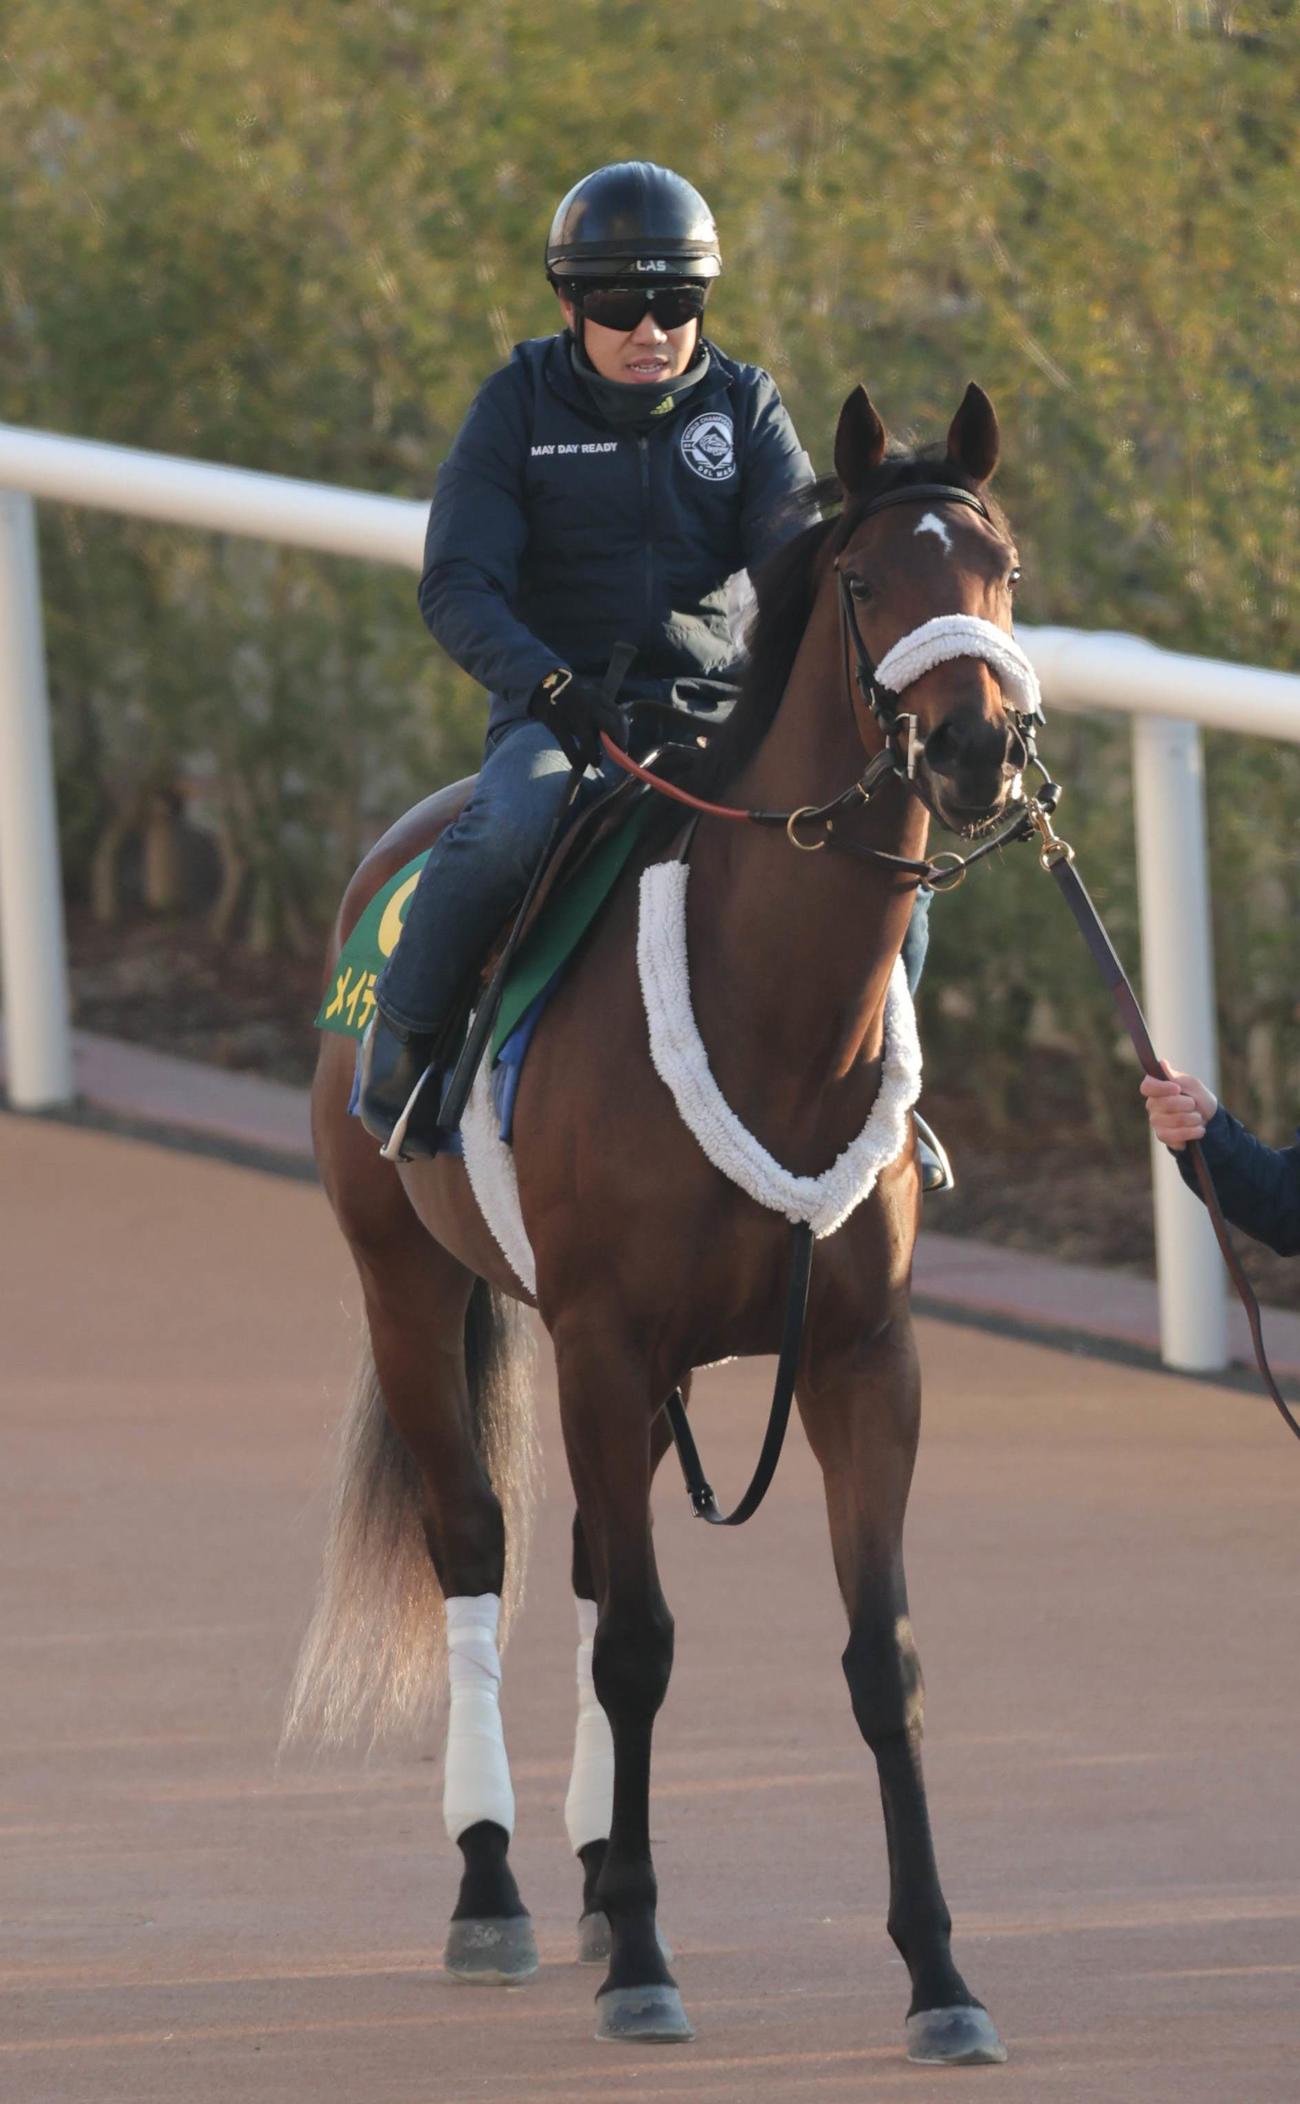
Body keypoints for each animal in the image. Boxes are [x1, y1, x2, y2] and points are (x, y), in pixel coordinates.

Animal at [287, 381, 1031, 2066]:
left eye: (1003, 570)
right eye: (868, 582)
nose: (976, 746)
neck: (774, 1017)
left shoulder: (863, 1360)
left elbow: (881, 1661)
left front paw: (941, 1977)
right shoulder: (606, 1340)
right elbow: (638, 1643)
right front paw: (641, 1958)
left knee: (572, 1566)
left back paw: (581, 1873)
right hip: (405, 1284)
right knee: (478, 1548)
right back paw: (496, 1884)